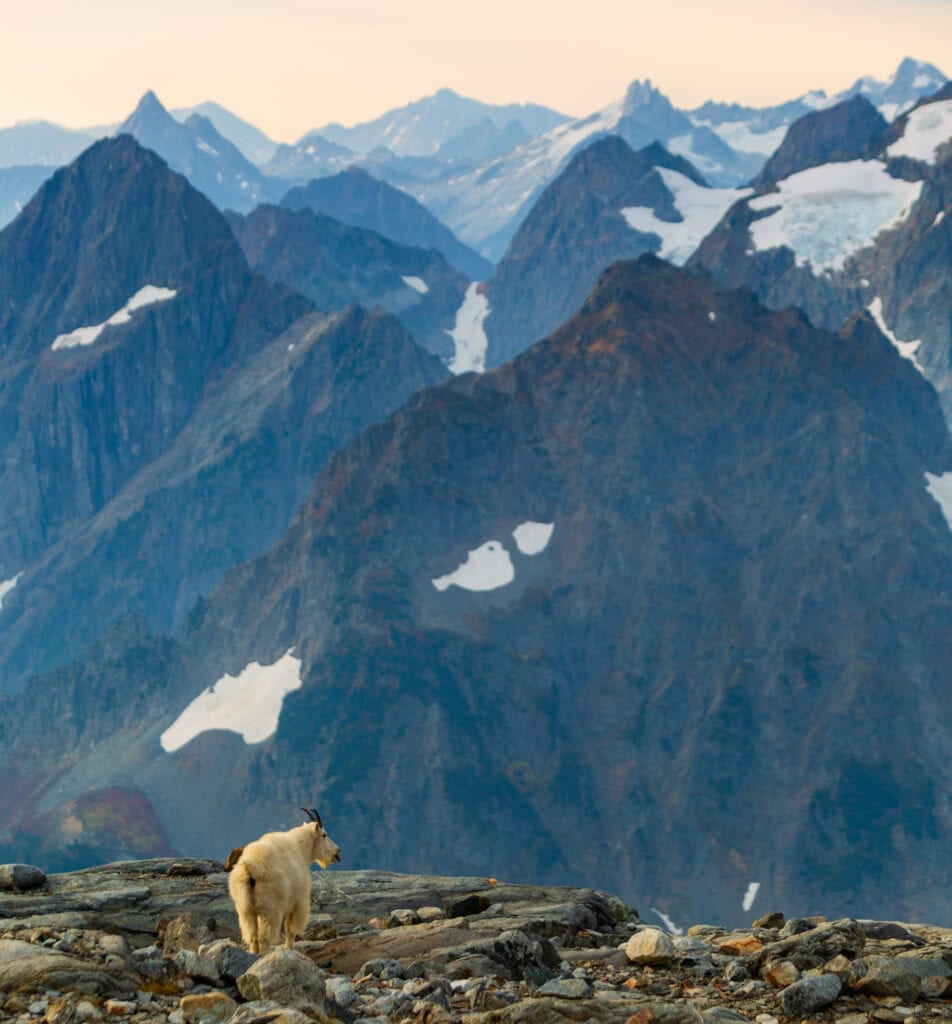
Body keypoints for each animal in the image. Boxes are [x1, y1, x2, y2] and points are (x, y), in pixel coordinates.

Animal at [226, 807, 341, 953]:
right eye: (324, 835)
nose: (337, 851)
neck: (301, 848)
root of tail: (250, 867)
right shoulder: (299, 901)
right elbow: (291, 928)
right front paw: (289, 948)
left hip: (245, 909)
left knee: (251, 936)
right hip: (269, 909)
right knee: (265, 937)